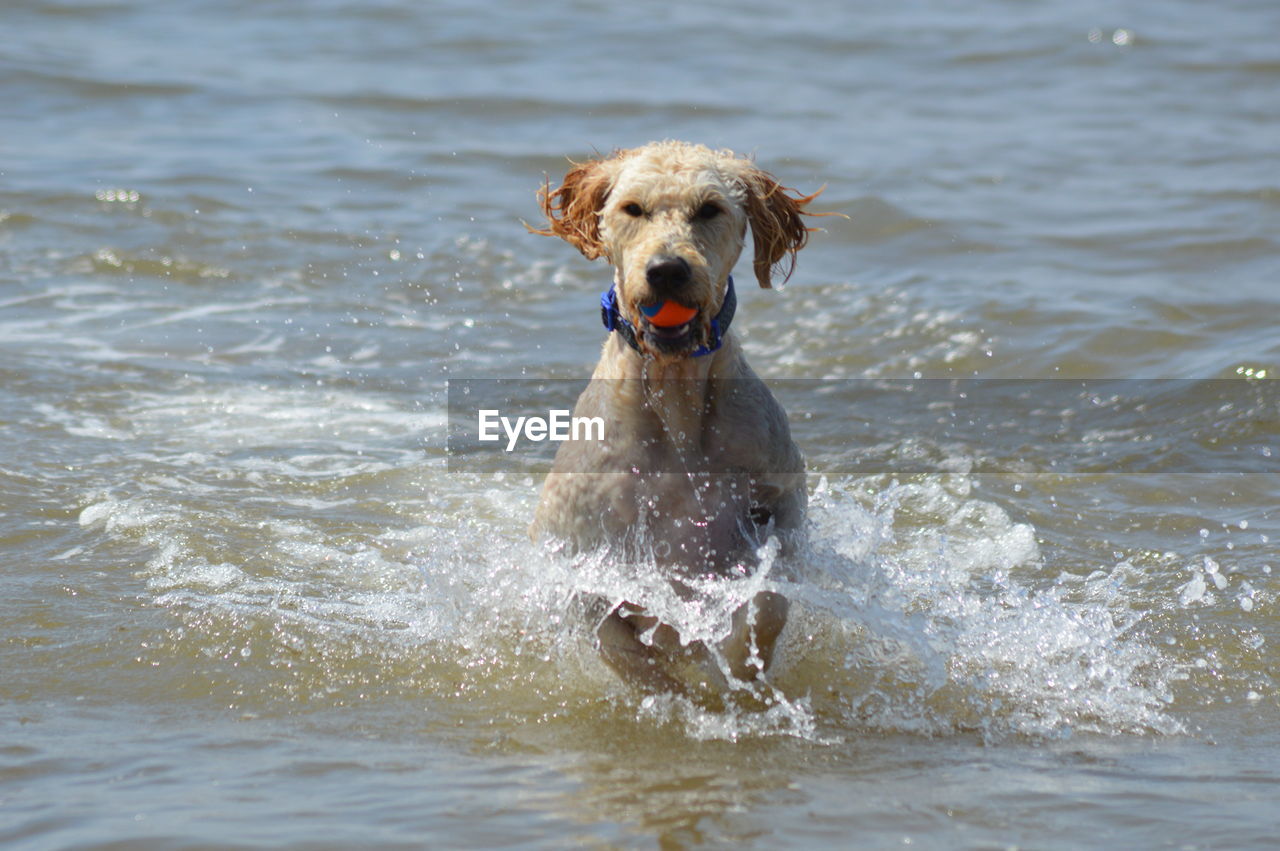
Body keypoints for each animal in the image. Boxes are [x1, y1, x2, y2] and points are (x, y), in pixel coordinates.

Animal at [527, 139, 819, 696]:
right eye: (632, 208)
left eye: (709, 209)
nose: (666, 270)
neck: (674, 393)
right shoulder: (581, 561)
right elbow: (622, 646)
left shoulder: (784, 507)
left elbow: (769, 598)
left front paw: (739, 666)